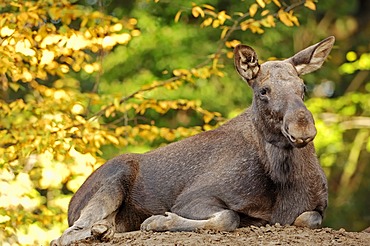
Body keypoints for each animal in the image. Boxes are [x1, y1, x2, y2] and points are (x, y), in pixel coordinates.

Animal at [51, 35, 336, 245]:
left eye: (303, 87)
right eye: (263, 91)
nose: (302, 128)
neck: (284, 180)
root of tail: (70, 204)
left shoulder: (316, 208)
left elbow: (309, 218)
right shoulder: (192, 198)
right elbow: (229, 217)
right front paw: (158, 221)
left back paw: (105, 231)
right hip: (115, 175)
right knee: (65, 235)